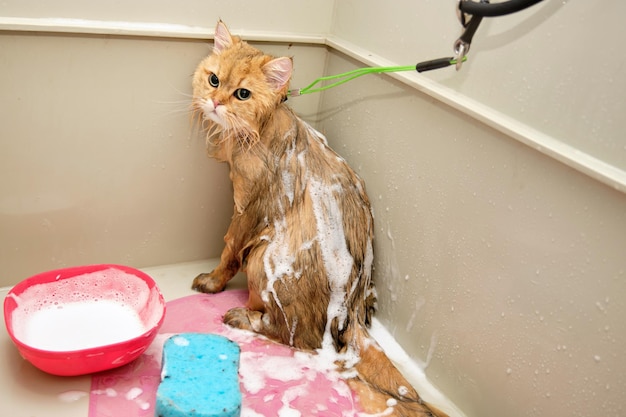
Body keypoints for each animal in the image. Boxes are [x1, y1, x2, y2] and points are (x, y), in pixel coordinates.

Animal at [193, 20, 446, 416]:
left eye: (243, 94)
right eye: (214, 80)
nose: (215, 102)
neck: (259, 130)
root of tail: (352, 311)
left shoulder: (249, 208)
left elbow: (228, 250)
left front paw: (212, 281)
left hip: (265, 258)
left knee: (297, 336)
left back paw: (245, 318)